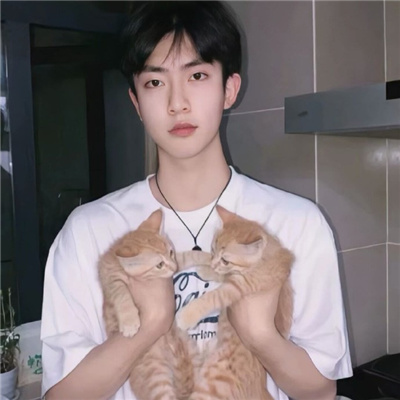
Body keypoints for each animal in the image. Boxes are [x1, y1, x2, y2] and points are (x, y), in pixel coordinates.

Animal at [176, 205, 294, 400]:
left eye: (225, 260)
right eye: (213, 249)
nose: (213, 264)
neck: (265, 258)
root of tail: (260, 388)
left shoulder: (241, 286)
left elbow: (214, 296)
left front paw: (186, 316)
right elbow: (215, 269)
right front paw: (201, 265)